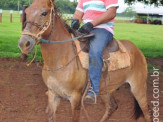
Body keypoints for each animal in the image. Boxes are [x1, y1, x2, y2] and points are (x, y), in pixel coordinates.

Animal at [17, 0, 152, 121]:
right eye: (26, 12)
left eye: (44, 13)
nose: (24, 43)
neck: (59, 60)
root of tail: (137, 50)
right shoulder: (53, 94)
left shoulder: (75, 98)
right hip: (106, 90)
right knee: (112, 107)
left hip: (138, 88)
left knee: (147, 112)